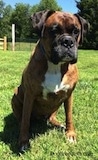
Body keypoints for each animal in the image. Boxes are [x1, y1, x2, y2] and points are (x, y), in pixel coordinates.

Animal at [11, 9, 89, 151]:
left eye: (76, 31)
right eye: (54, 30)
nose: (68, 41)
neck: (55, 65)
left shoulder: (69, 95)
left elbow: (69, 116)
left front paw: (70, 134)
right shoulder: (29, 95)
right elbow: (25, 120)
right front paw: (24, 141)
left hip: (56, 106)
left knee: (52, 117)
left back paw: (59, 124)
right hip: (15, 95)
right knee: (22, 119)